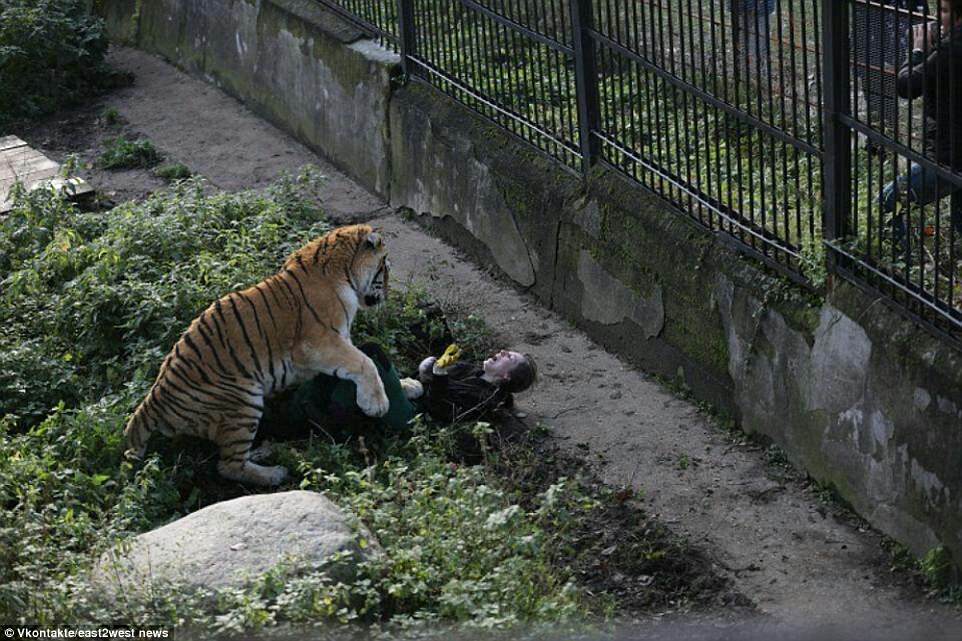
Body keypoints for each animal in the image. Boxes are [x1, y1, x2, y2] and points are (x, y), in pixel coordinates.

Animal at [123, 225, 390, 484]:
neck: (344, 271)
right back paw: (275, 474)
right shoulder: (318, 343)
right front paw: (377, 404)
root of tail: (152, 401)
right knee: (229, 465)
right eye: (385, 266)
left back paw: (265, 451)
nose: (388, 291)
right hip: (243, 401)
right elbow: (364, 362)